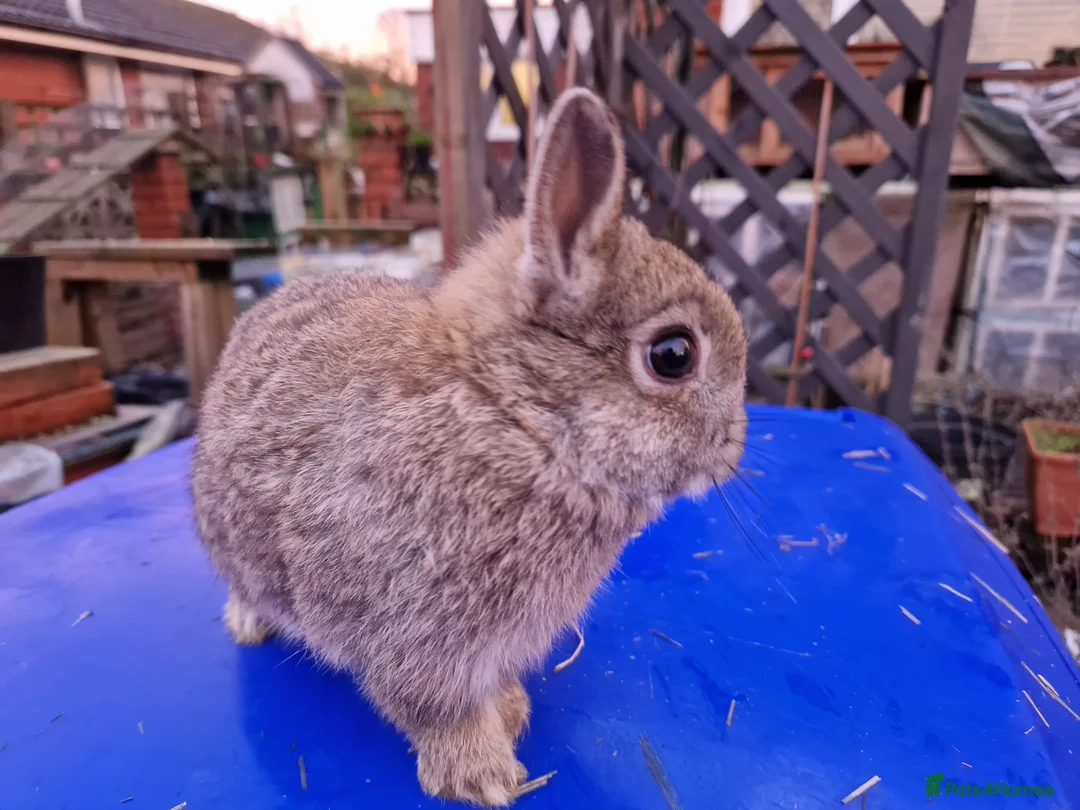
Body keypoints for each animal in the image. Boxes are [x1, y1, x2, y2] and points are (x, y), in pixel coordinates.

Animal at [191, 87, 748, 807]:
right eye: (673, 355)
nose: (735, 447)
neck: (513, 416)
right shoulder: (413, 637)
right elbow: (435, 709)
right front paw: (483, 775)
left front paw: (510, 710)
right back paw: (247, 623)